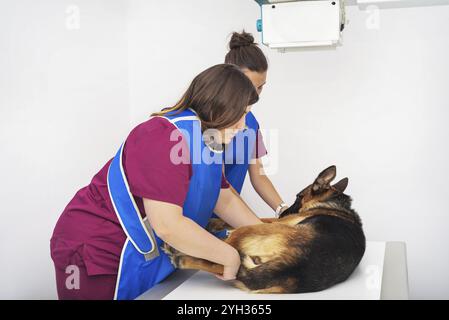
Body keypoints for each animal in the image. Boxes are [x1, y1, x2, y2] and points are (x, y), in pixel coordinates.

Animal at [163, 166, 366, 294]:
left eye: (298, 197)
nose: (283, 213)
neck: (333, 203)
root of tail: (293, 267)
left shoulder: (279, 222)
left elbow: (262, 218)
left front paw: (213, 223)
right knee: (224, 263)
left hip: (249, 231)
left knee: (223, 252)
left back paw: (179, 252)